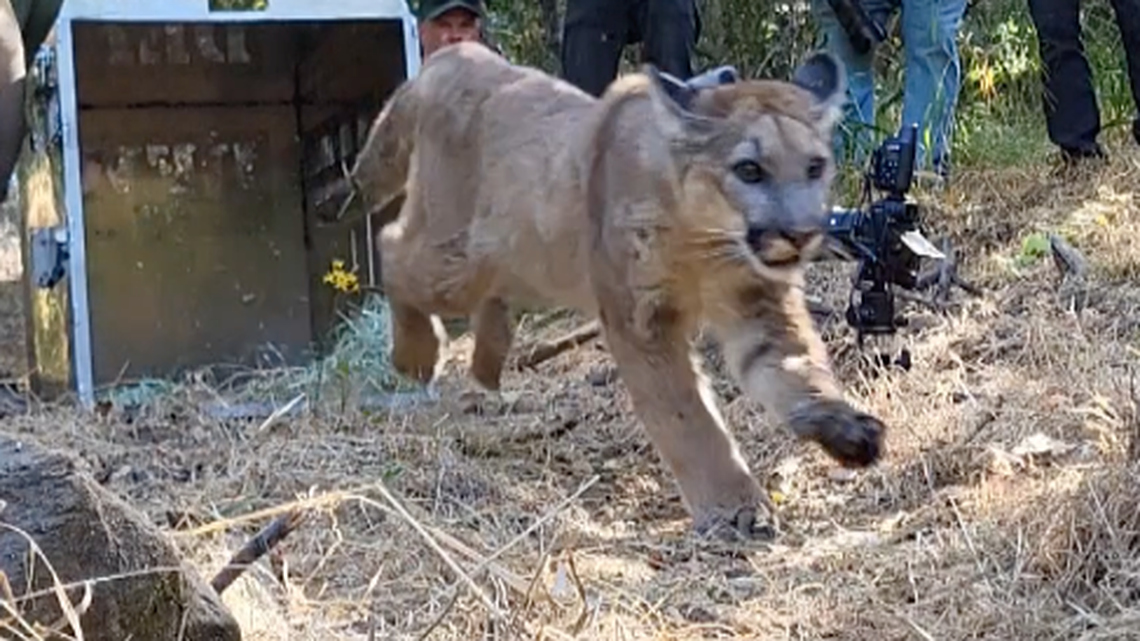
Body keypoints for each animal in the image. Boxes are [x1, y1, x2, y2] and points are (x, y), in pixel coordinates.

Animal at [343, 41, 886, 539]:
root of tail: (456, 55)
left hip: (522, 261)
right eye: (749, 170)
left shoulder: (760, 304)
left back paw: (486, 369)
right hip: (457, 257)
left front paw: (844, 428)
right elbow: (687, 417)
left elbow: (794, 367)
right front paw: (735, 509)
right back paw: (416, 355)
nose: (801, 232)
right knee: (393, 248)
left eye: (815, 166)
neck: (705, 243)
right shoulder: (641, 321)